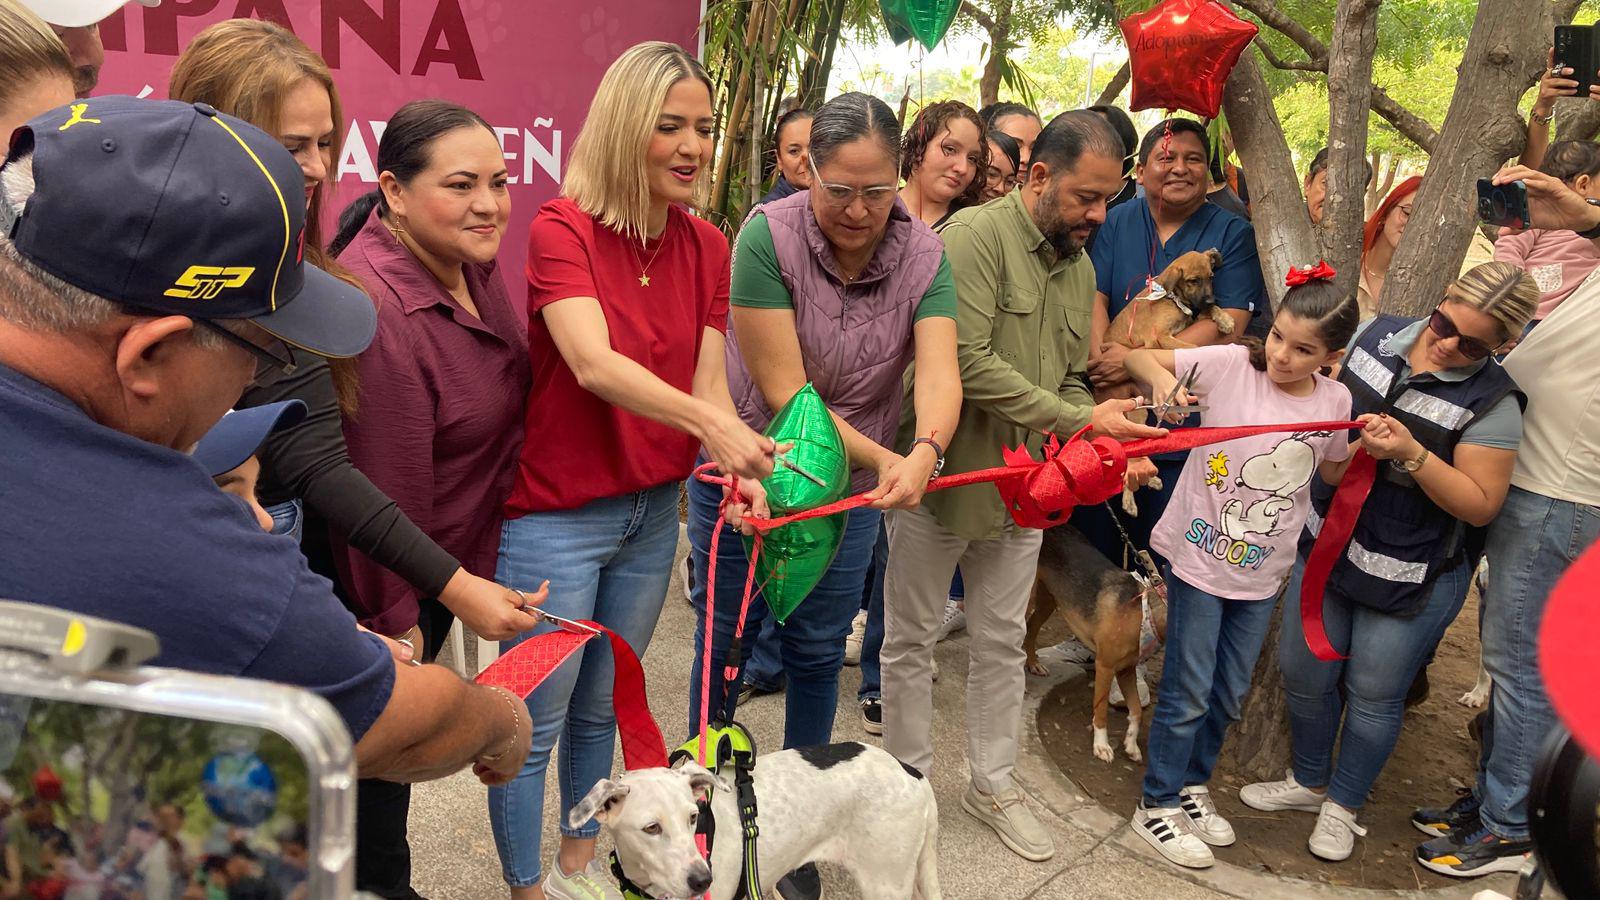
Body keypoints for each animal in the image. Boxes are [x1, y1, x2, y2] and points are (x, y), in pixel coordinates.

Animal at [1030, 522, 1171, 759]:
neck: (1144, 613)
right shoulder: (1105, 666)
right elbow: (1101, 710)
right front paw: (1101, 745)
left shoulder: (1126, 671)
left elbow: (1136, 711)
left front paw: (1131, 745)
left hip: (1047, 600)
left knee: (1029, 630)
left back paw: (1032, 664)